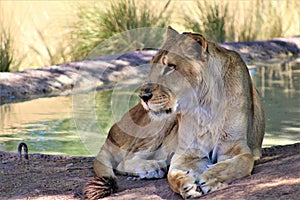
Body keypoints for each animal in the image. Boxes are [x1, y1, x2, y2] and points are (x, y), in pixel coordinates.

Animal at [82, 26, 264, 198]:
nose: (143, 96)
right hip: (161, 123)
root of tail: (111, 132)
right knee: (124, 161)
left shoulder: (234, 147)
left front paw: (210, 178)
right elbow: (173, 175)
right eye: (152, 63)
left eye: (170, 67)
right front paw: (186, 185)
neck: (205, 105)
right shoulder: (188, 152)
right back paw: (154, 167)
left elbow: (241, 162)